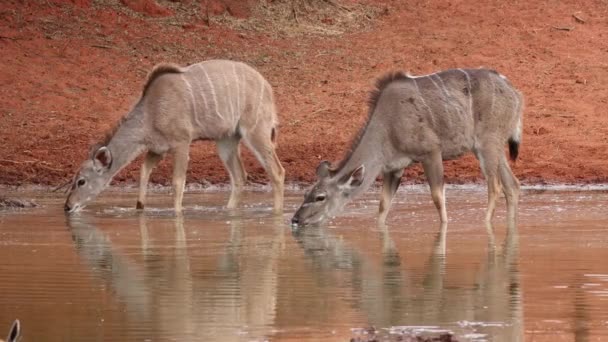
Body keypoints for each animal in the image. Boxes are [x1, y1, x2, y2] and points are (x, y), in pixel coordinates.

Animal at [64, 60, 284, 212]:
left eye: (81, 181)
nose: (67, 206)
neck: (151, 112)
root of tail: (268, 88)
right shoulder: (158, 149)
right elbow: (144, 171)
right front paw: (140, 206)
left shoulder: (182, 142)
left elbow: (177, 183)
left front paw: (177, 213)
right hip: (226, 140)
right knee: (239, 176)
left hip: (256, 131)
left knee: (277, 171)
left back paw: (277, 212)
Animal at [292, 68, 520, 226]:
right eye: (305, 194)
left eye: (320, 197)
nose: (295, 219)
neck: (388, 126)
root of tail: (516, 94)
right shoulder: (394, 168)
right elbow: (383, 205)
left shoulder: (431, 152)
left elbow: (438, 197)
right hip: (494, 147)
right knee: (512, 185)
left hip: (486, 145)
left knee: (495, 186)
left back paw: (485, 223)